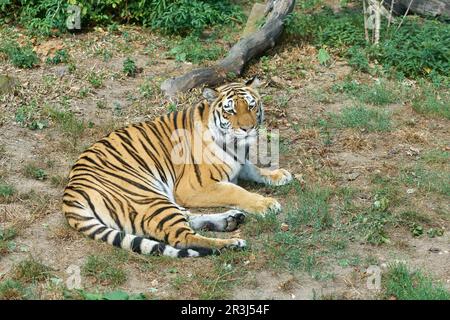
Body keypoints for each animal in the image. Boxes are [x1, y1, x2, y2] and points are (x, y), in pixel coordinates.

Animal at [63, 77, 294, 258]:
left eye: (251, 106)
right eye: (230, 111)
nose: (248, 129)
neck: (236, 145)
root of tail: (70, 192)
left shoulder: (239, 163)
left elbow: (254, 169)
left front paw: (280, 175)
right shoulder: (193, 187)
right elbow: (236, 191)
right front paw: (266, 204)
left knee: (186, 219)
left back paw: (230, 220)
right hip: (148, 197)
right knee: (182, 237)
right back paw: (232, 243)